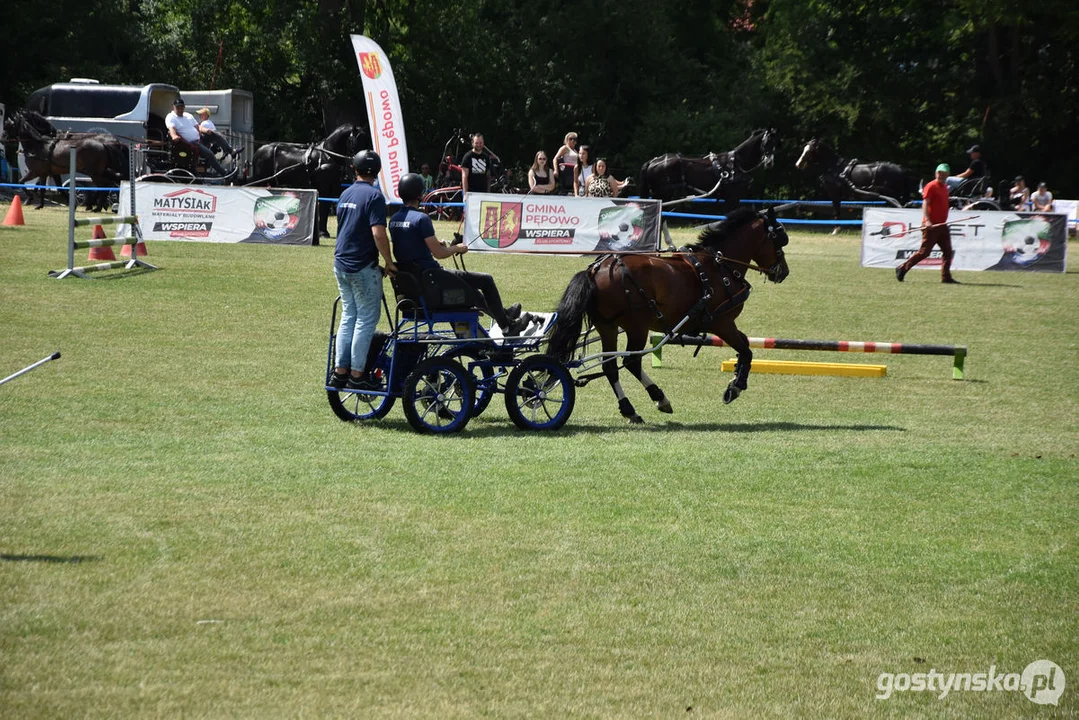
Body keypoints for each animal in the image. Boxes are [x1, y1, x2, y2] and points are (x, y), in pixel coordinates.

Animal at [552, 205, 789, 425]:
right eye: (779, 240)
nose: (784, 272)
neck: (720, 266)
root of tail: (596, 270)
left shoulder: (725, 324)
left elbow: (745, 346)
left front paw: (736, 376)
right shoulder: (722, 323)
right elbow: (746, 349)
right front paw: (735, 387)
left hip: (607, 326)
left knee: (610, 366)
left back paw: (629, 409)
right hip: (637, 327)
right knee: (631, 362)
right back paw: (659, 397)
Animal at [634, 127, 781, 212]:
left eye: (777, 143)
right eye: (766, 142)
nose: (770, 163)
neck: (736, 163)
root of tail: (653, 161)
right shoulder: (732, 199)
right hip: (664, 194)